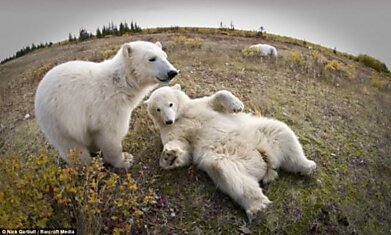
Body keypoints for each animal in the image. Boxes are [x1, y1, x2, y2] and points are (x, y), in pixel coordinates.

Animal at [35, 40, 179, 169]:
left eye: (165, 56)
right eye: (152, 58)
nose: (172, 72)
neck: (121, 83)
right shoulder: (108, 106)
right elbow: (111, 135)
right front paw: (125, 160)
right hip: (59, 119)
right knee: (72, 146)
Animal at [145, 84, 316, 220]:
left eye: (170, 104)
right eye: (158, 109)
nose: (168, 120)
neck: (181, 116)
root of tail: (267, 163)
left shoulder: (199, 106)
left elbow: (216, 97)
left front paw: (237, 105)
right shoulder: (172, 131)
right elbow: (182, 147)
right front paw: (169, 156)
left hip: (262, 133)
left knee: (282, 133)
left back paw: (308, 165)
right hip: (228, 158)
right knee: (232, 175)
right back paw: (258, 206)